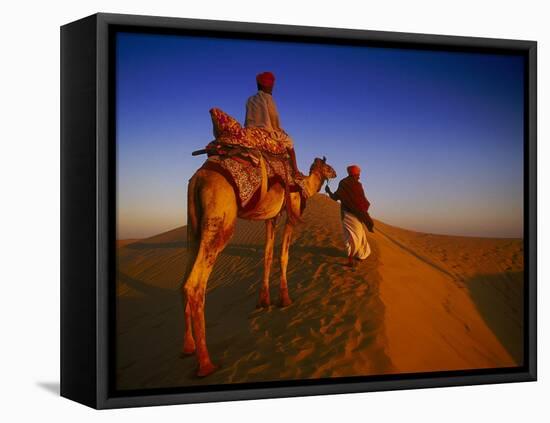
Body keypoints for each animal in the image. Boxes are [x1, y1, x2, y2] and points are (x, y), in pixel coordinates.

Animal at [182, 156, 336, 378]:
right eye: (328, 166)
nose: (335, 173)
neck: (304, 185)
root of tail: (198, 179)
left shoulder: (271, 217)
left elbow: (267, 255)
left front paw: (264, 301)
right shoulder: (291, 214)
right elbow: (283, 255)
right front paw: (285, 299)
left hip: (193, 224)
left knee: (184, 280)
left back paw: (188, 347)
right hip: (219, 219)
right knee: (195, 284)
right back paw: (206, 364)